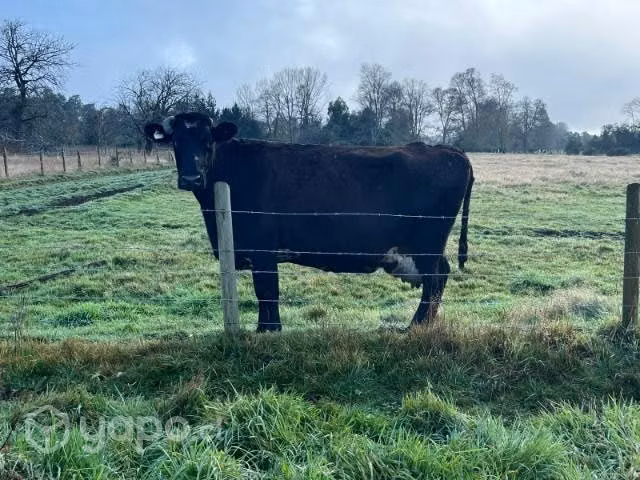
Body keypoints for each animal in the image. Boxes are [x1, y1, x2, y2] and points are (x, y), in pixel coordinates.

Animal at [144, 112, 474, 332]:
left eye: (207, 141)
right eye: (176, 141)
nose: (191, 178)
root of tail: (446, 149)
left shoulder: (263, 250)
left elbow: (267, 291)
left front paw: (268, 331)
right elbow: (266, 294)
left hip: (427, 243)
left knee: (435, 279)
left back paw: (416, 327)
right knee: (440, 277)